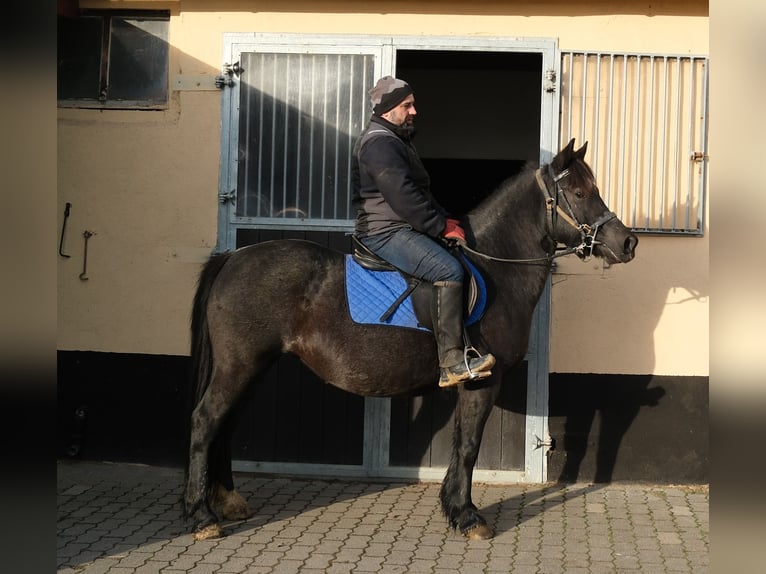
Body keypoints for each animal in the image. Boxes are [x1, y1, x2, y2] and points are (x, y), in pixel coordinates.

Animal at [182, 139, 638, 540]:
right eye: (579, 193)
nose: (628, 242)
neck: (496, 267)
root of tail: (233, 257)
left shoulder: (472, 385)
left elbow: (460, 443)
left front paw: (454, 508)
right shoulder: (484, 381)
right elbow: (469, 445)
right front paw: (468, 517)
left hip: (253, 366)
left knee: (226, 423)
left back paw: (229, 502)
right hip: (240, 365)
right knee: (206, 420)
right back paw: (203, 516)